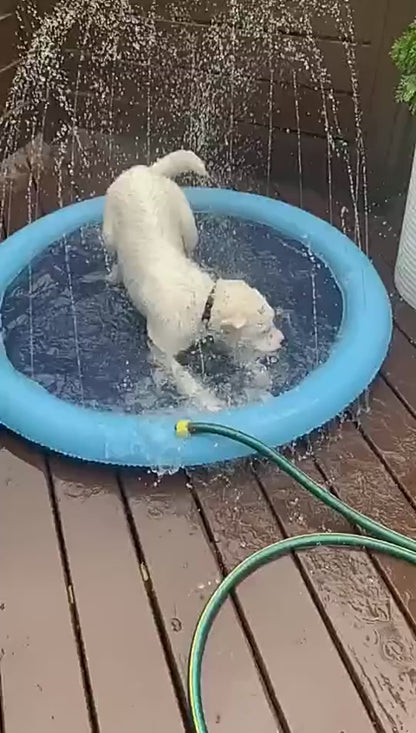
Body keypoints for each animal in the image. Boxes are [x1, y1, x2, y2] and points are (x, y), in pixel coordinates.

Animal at [101, 151, 282, 408]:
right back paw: (115, 274)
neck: (203, 301)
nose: (282, 340)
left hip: (188, 224)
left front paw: (258, 373)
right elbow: (186, 379)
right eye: (264, 329)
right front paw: (210, 402)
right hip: (108, 231)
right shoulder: (162, 349)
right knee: (114, 252)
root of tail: (145, 170)